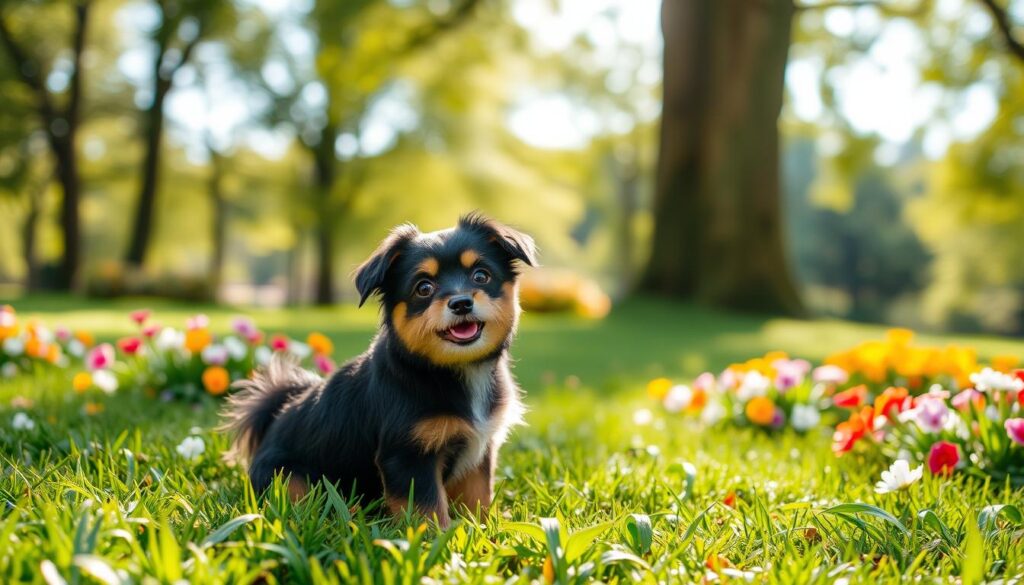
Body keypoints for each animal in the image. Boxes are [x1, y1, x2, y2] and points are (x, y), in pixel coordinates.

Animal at [219, 214, 532, 524]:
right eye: (424, 288)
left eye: (481, 275)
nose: (462, 303)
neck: (446, 369)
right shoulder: (407, 456)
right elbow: (427, 510)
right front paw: (438, 537)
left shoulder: (478, 452)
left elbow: (478, 497)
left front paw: (482, 528)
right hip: (289, 477)